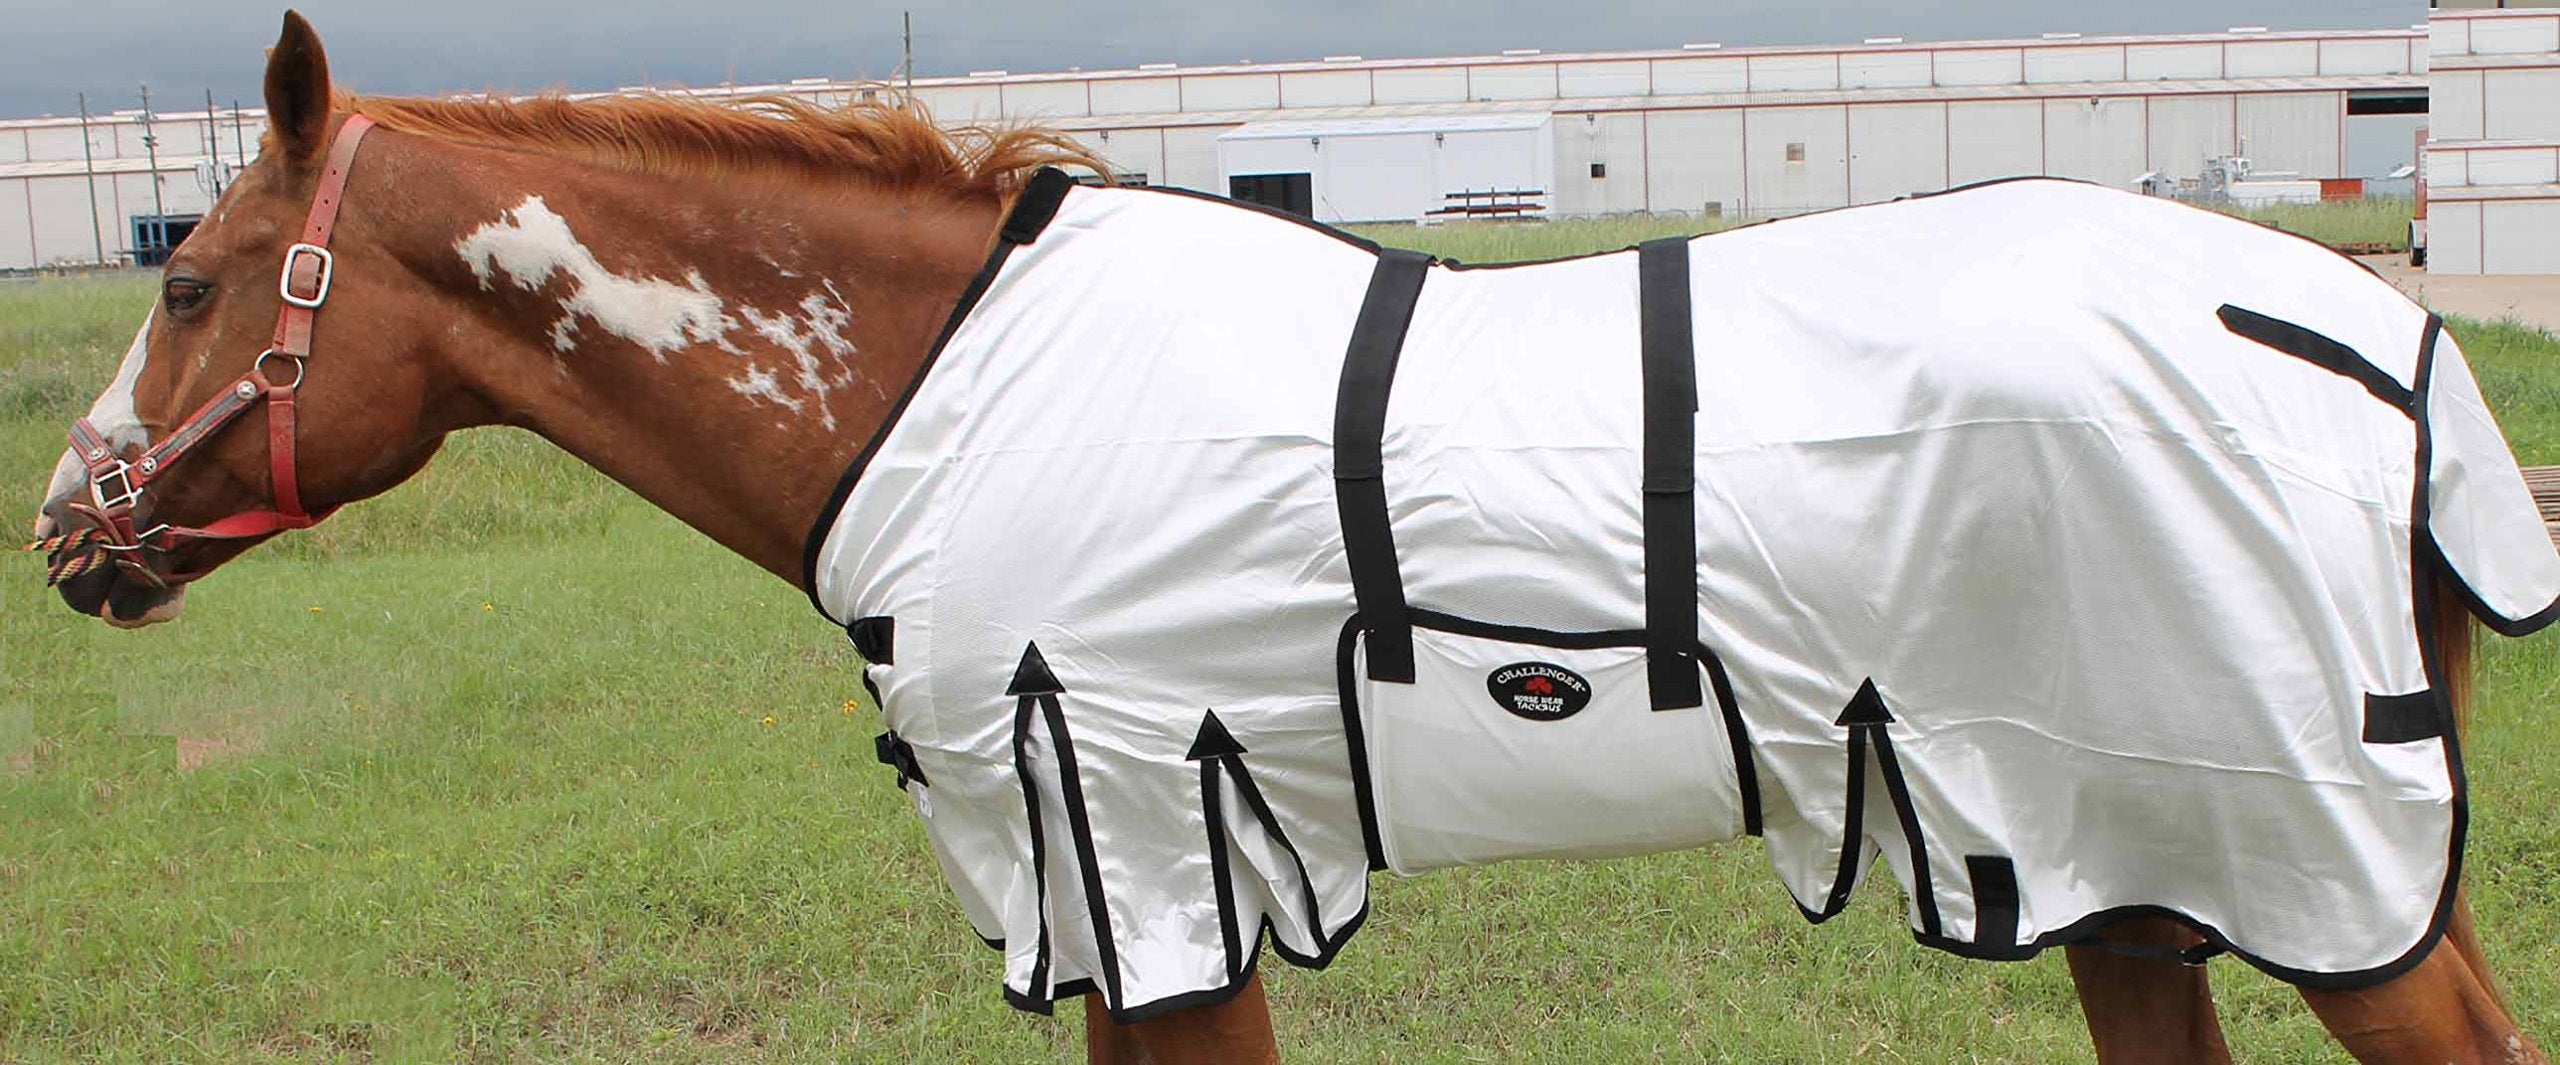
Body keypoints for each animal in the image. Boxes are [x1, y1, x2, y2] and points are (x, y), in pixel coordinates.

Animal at [25, 14, 2551, 1063]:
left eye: (189, 282)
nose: (64, 529)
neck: (944, 378)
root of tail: (2372, 337)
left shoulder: (1140, 849)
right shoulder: (1141, 876)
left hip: (2305, 863)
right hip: (2112, 858)